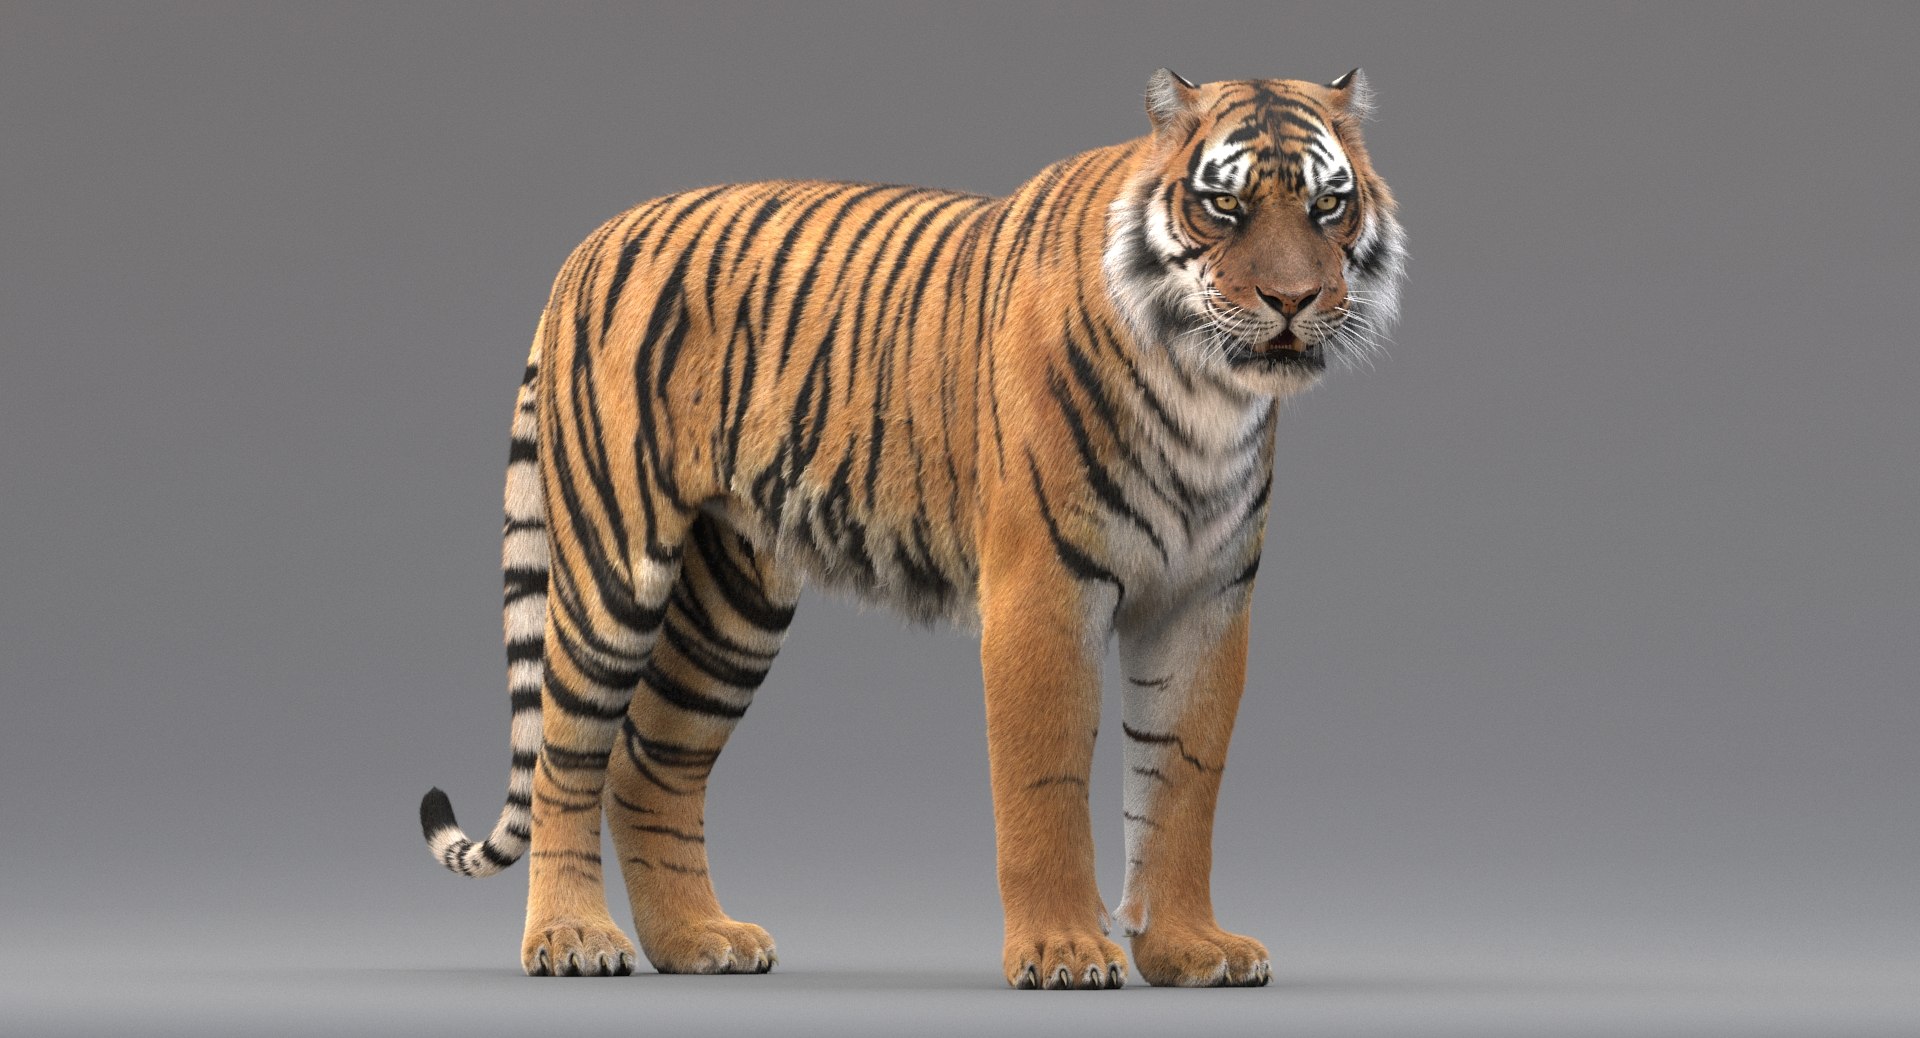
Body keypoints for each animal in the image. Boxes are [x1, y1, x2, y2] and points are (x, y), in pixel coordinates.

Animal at [419, 67, 1405, 989]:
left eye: (1327, 204)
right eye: (1225, 205)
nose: (1292, 300)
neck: (1205, 391)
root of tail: (590, 243)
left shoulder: (1204, 602)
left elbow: (1182, 786)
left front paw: (1190, 949)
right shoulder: (1043, 589)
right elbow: (1045, 782)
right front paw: (1061, 951)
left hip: (729, 606)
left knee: (647, 766)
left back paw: (699, 941)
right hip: (615, 569)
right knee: (566, 759)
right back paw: (573, 939)